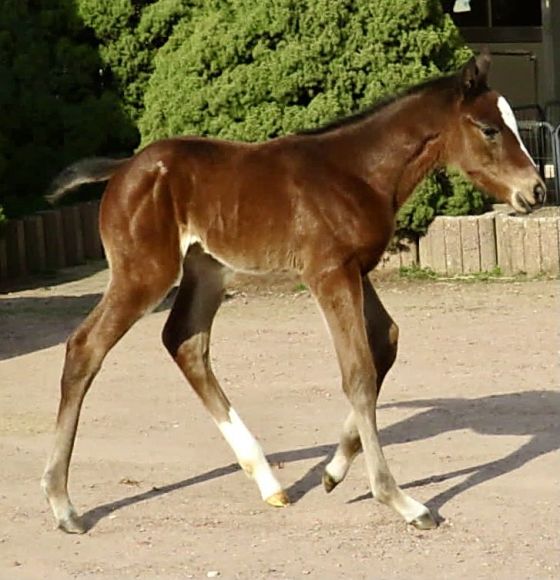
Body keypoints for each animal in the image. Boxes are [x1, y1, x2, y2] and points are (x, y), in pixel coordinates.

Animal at [42, 52, 544, 532]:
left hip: (208, 270)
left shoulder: (356, 270)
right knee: (85, 347)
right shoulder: (328, 274)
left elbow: (385, 345)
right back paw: (63, 504)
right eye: (489, 129)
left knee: (184, 342)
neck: (357, 172)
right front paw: (402, 501)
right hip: (144, 273)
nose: (536, 190)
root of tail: (124, 168)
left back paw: (268, 481)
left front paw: (333, 471)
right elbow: (358, 372)